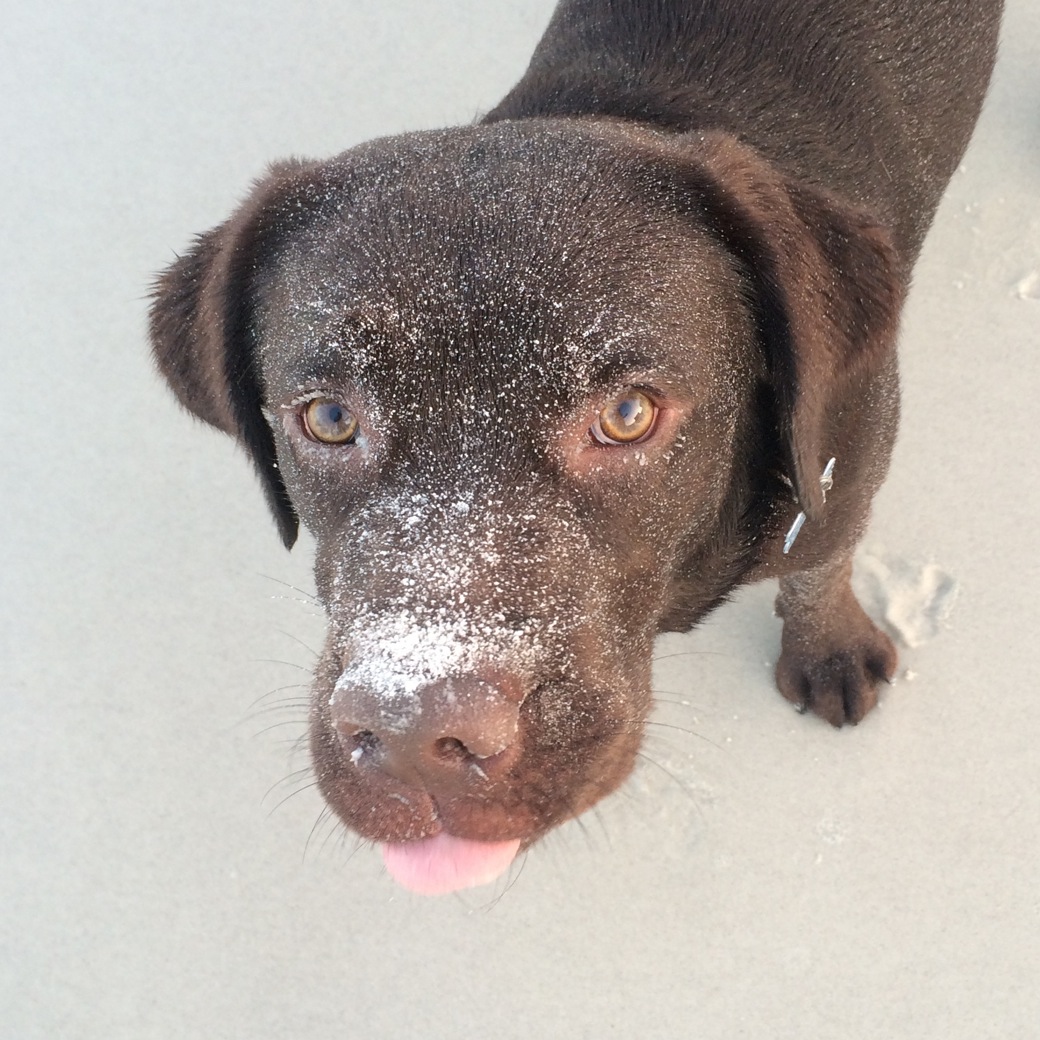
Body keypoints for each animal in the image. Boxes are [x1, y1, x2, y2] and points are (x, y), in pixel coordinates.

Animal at [150, 0, 1002, 894]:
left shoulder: (848, 466)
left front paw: (830, 648)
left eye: (628, 414)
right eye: (327, 418)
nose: (416, 741)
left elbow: (818, 566)